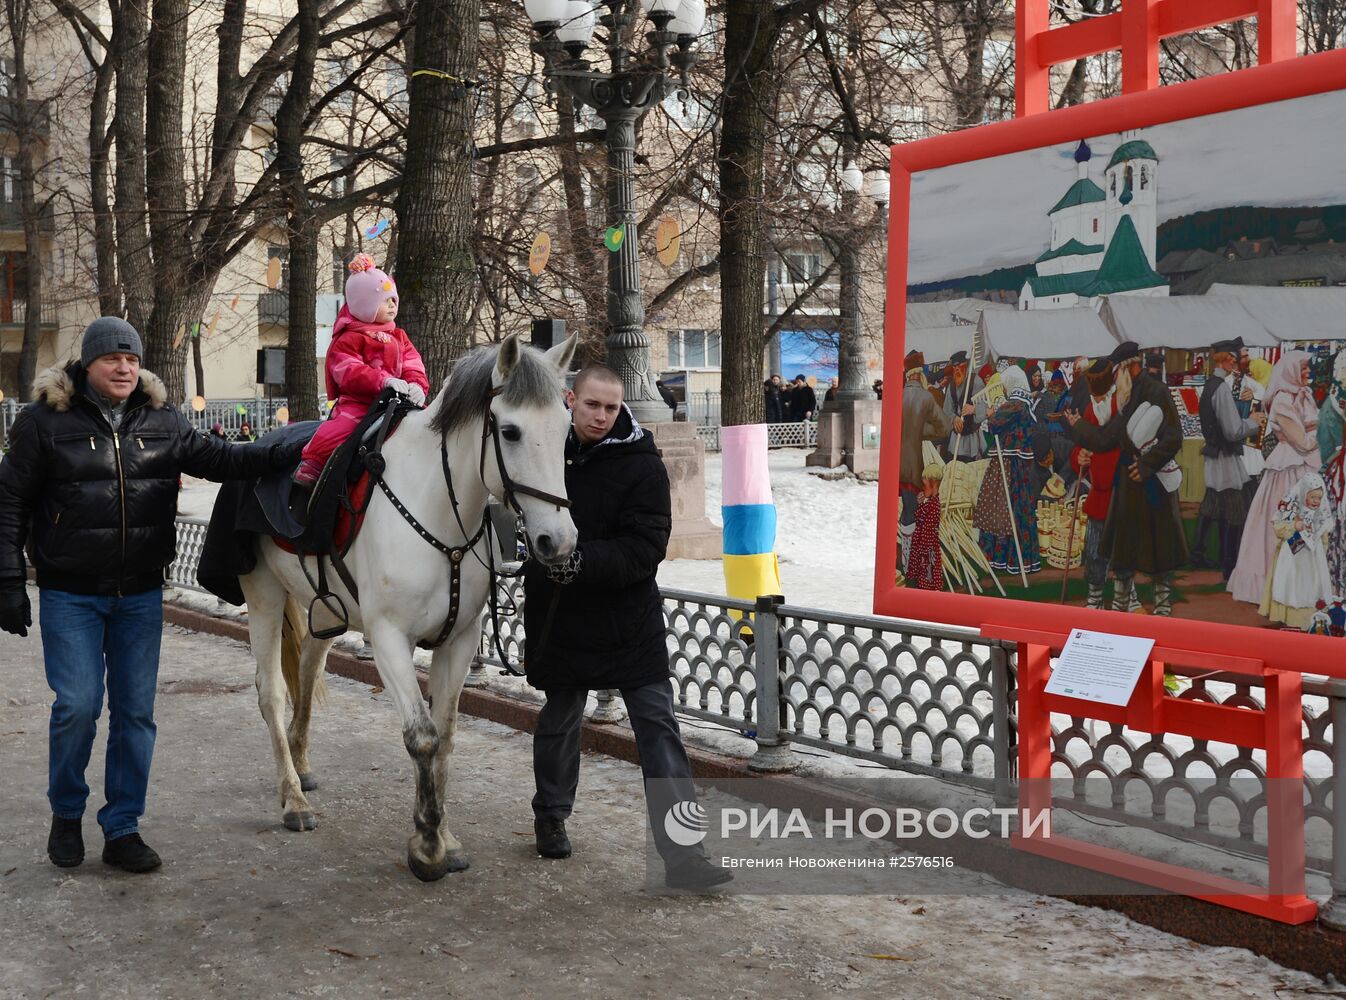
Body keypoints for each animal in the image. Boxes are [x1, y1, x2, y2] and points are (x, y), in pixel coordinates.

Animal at [239, 332, 576, 877]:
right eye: (510, 431)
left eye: (566, 429)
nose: (558, 541)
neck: (439, 509)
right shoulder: (390, 639)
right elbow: (422, 736)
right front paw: (428, 845)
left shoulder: (459, 640)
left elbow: (447, 734)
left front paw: (446, 835)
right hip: (263, 592)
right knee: (272, 692)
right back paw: (293, 801)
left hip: (324, 609)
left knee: (308, 671)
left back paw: (301, 764)